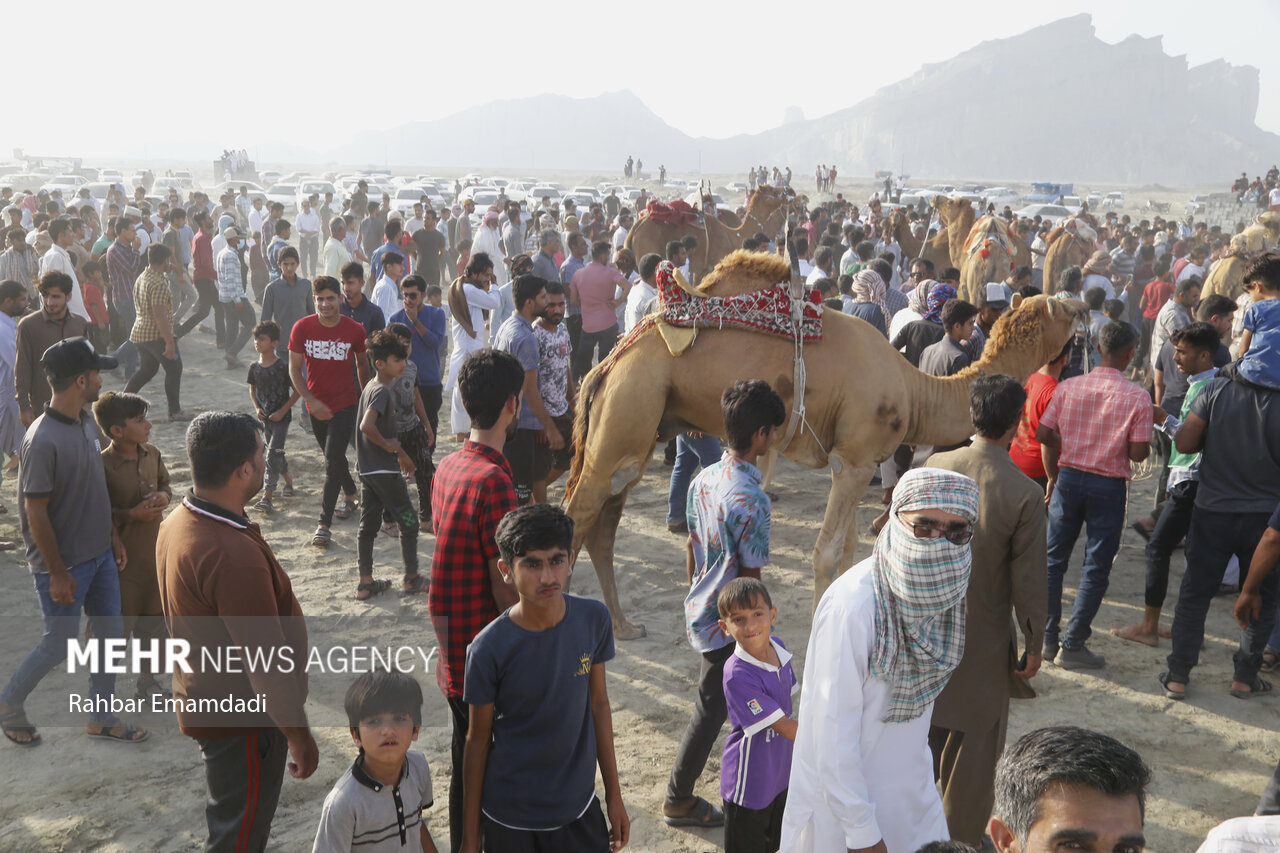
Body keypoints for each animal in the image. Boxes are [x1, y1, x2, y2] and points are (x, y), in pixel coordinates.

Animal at [560, 249, 1080, 635]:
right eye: (1069, 314)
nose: (1080, 307)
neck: (915, 390)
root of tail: (608, 361)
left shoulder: (852, 461)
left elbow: (849, 552)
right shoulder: (854, 461)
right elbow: (828, 553)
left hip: (644, 427)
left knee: (604, 523)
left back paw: (624, 625)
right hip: (631, 402)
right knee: (579, 512)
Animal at [619, 183, 788, 279]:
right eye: (773, 191)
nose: (789, 190)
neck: (733, 235)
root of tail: (635, 228)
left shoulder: (700, 269)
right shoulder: (710, 266)